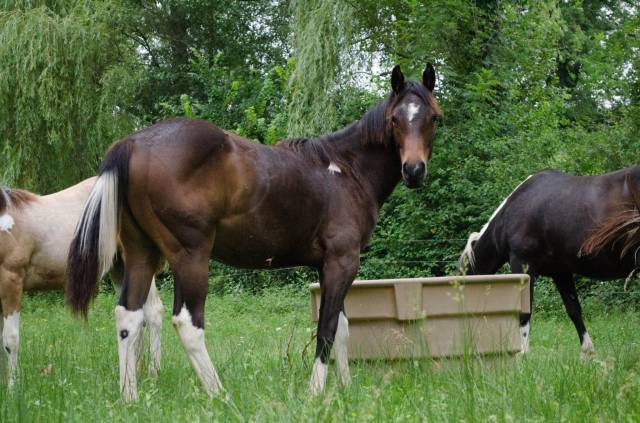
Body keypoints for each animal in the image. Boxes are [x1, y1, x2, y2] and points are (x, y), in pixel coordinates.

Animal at [0, 178, 164, 386]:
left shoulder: (11, 280)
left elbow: (10, 340)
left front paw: (13, 388)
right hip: (119, 268)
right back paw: (136, 373)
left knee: (154, 312)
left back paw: (153, 375)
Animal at [66, 64, 442, 401]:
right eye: (395, 119)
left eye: (433, 118)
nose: (414, 170)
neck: (345, 171)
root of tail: (132, 143)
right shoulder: (342, 261)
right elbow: (327, 329)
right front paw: (316, 393)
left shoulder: (328, 267)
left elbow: (344, 329)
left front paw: (346, 389)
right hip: (190, 257)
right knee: (187, 323)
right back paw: (219, 395)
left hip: (140, 255)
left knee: (129, 317)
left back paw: (130, 397)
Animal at [458, 166, 640, 356]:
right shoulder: (560, 272)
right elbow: (574, 309)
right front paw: (587, 351)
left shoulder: (523, 266)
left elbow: (524, 313)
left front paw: (522, 354)